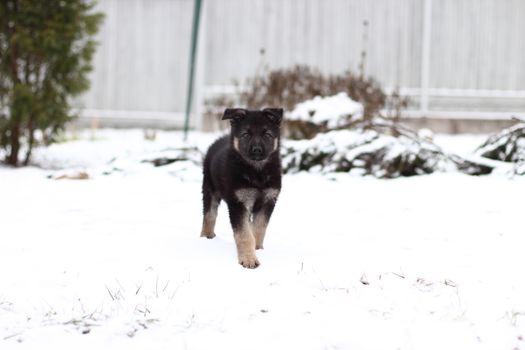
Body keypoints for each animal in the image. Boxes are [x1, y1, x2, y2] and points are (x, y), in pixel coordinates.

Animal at [201, 108, 282, 270]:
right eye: (246, 134)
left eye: (267, 134)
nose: (257, 150)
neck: (257, 173)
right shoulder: (238, 203)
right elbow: (244, 234)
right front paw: (249, 259)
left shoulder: (268, 201)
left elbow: (258, 229)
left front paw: (257, 249)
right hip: (209, 189)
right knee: (209, 215)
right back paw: (206, 237)